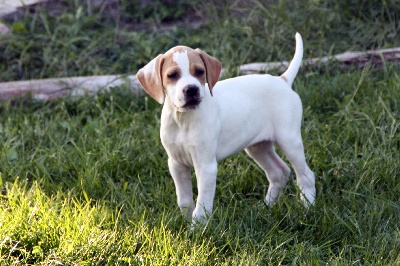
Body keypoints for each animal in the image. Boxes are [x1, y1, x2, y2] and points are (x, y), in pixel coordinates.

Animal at [138, 33, 316, 224]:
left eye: (199, 72)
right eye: (172, 75)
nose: (191, 90)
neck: (183, 120)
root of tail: (282, 80)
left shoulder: (206, 166)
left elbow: (202, 204)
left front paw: (197, 227)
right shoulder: (176, 163)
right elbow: (184, 200)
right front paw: (185, 222)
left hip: (289, 141)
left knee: (306, 176)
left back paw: (307, 209)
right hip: (258, 147)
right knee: (279, 172)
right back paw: (265, 207)